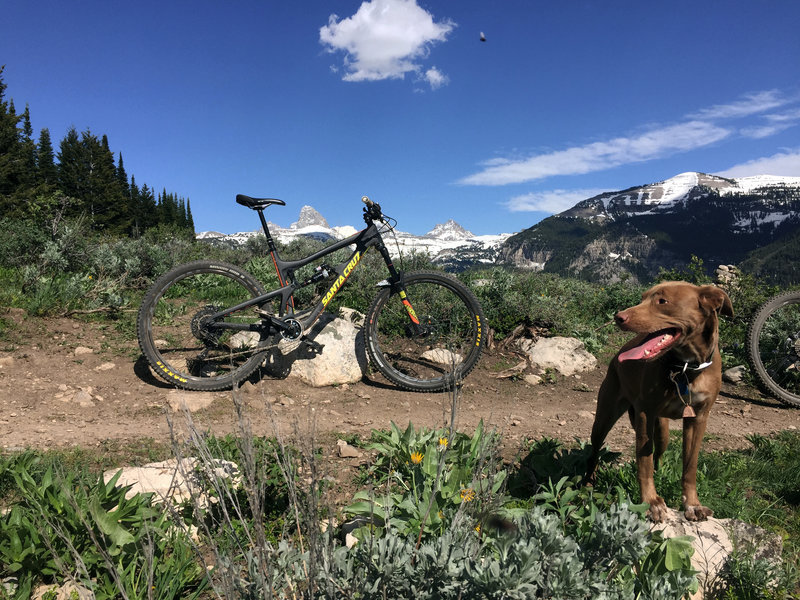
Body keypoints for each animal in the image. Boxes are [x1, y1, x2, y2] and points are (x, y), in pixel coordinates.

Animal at [584, 282, 736, 520]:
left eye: (662, 301)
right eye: (642, 298)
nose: (619, 317)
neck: (685, 368)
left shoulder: (699, 417)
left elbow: (690, 466)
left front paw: (692, 504)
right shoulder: (645, 413)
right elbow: (643, 461)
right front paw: (651, 501)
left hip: (662, 431)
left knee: (659, 453)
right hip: (604, 418)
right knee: (594, 452)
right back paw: (588, 482)